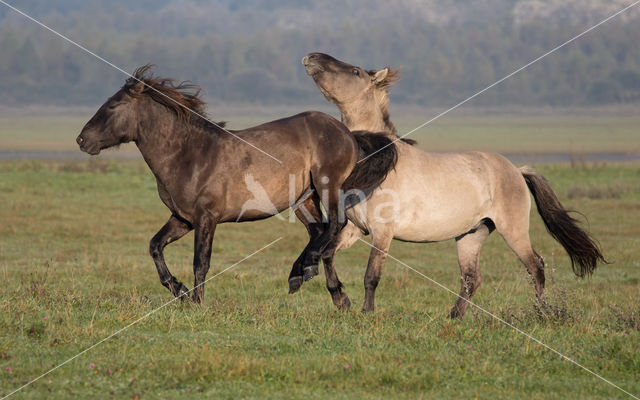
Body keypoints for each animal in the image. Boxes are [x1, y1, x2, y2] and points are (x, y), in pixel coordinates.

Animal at [75, 65, 396, 302]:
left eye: (114, 105)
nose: (82, 140)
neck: (189, 154)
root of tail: (347, 133)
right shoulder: (182, 218)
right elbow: (155, 246)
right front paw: (178, 290)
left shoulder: (206, 218)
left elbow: (200, 262)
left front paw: (196, 302)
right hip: (303, 198)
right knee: (320, 231)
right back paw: (321, 286)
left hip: (327, 185)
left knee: (334, 226)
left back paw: (307, 269)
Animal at [296, 52, 604, 316]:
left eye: (355, 71)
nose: (312, 57)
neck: (376, 158)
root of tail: (516, 171)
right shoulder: (356, 229)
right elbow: (327, 256)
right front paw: (341, 300)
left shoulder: (382, 233)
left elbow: (371, 275)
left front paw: (366, 312)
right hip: (471, 234)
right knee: (471, 278)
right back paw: (454, 316)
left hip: (513, 231)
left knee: (535, 266)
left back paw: (542, 312)